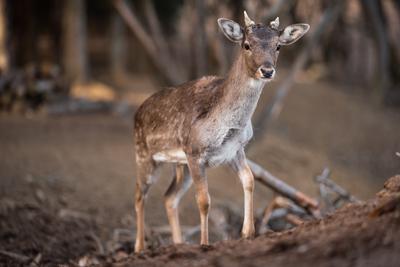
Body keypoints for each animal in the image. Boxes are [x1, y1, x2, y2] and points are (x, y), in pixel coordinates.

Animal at [134, 11, 310, 253]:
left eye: (278, 46)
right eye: (246, 45)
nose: (267, 70)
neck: (229, 125)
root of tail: (137, 112)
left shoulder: (235, 150)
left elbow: (249, 180)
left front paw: (248, 233)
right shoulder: (195, 151)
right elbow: (204, 200)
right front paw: (205, 243)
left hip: (180, 165)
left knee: (169, 197)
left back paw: (178, 244)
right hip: (144, 155)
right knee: (139, 196)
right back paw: (139, 248)